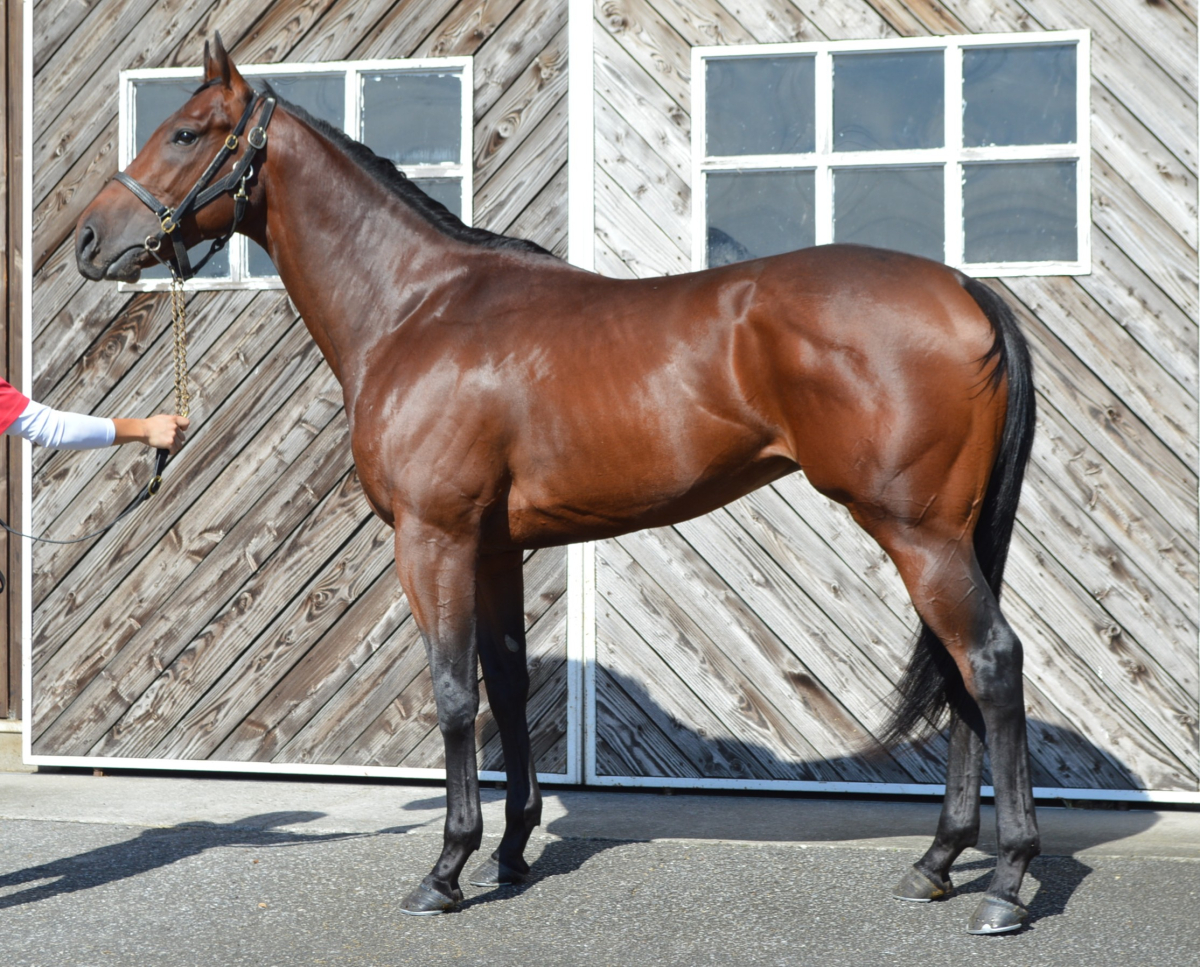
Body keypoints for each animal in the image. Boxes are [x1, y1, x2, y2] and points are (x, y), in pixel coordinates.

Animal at [74, 34, 1039, 934]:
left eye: (185, 131)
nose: (88, 240)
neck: (417, 309)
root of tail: (962, 286)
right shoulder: (494, 546)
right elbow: (504, 685)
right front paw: (509, 850)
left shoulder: (433, 538)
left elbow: (454, 692)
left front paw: (445, 868)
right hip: (944, 536)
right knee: (961, 676)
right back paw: (937, 861)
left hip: (917, 533)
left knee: (989, 663)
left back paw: (1007, 881)